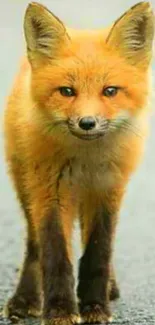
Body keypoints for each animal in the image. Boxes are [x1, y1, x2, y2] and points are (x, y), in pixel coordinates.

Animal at [3, 0, 154, 324]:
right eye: (67, 91)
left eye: (110, 91)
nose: (87, 123)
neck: (86, 163)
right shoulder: (49, 192)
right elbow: (56, 254)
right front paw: (60, 309)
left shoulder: (108, 190)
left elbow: (98, 251)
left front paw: (95, 305)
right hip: (25, 184)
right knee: (33, 247)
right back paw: (25, 298)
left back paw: (109, 287)